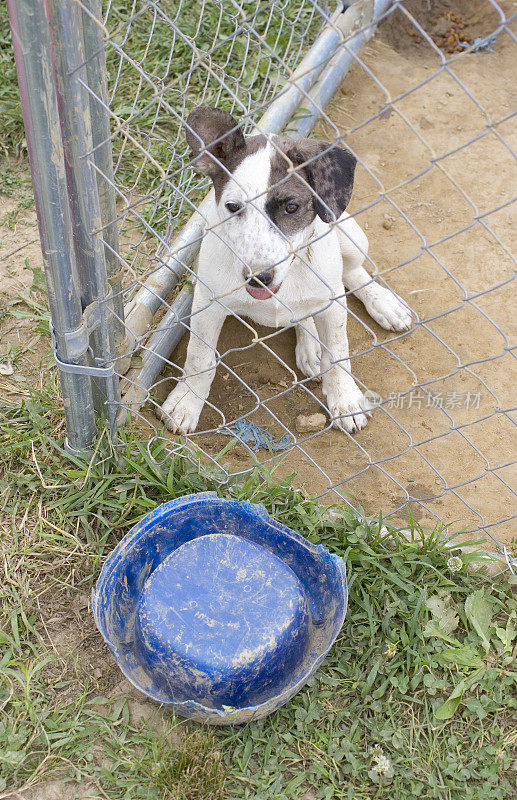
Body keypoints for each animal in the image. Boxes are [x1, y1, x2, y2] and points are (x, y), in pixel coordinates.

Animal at [159, 106, 410, 434]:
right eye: (233, 207)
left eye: (292, 207)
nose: (259, 278)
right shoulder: (207, 304)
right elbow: (199, 359)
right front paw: (187, 402)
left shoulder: (333, 305)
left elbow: (339, 352)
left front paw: (345, 399)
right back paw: (311, 345)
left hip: (353, 239)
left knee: (352, 273)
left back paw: (383, 304)